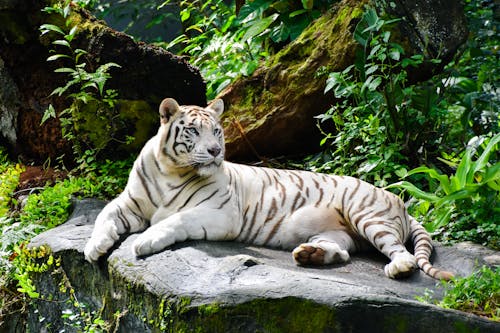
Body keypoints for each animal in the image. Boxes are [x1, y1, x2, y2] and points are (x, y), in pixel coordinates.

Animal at [85, 97, 454, 278]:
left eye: (216, 131)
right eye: (193, 131)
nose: (215, 151)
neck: (171, 170)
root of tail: (399, 201)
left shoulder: (221, 213)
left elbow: (176, 219)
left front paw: (144, 242)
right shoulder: (129, 202)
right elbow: (103, 216)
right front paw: (93, 248)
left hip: (366, 214)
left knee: (403, 253)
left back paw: (397, 268)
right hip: (336, 232)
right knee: (344, 251)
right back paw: (309, 255)